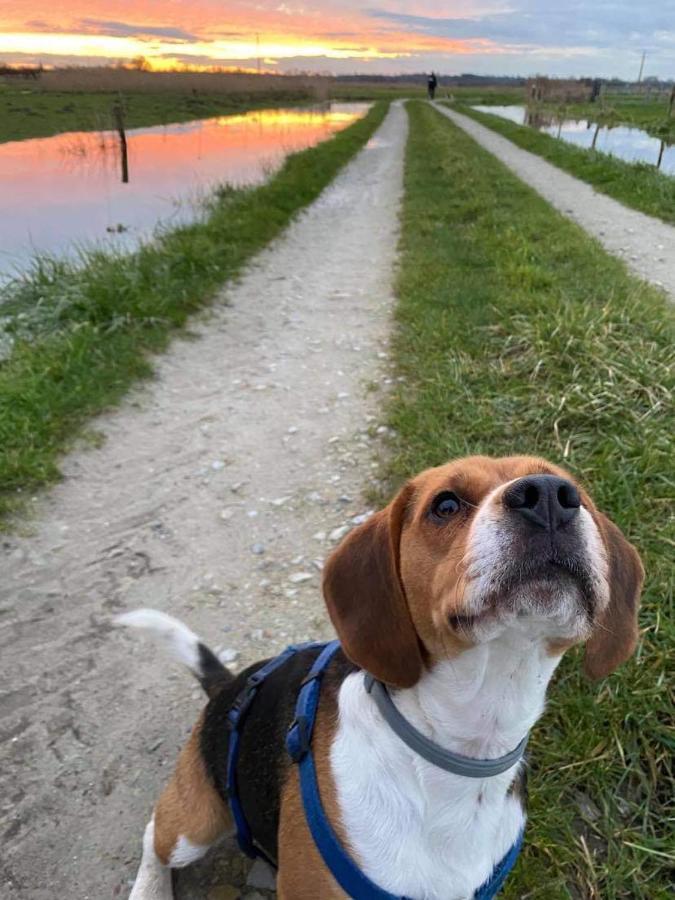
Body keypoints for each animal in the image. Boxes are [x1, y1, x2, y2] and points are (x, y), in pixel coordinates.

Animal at [120, 458, 644, 900]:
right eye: (445, 505)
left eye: (572, 489)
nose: (551, 496)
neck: (462, 748)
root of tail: (228, 688)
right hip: (195, 825)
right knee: (154, 835)